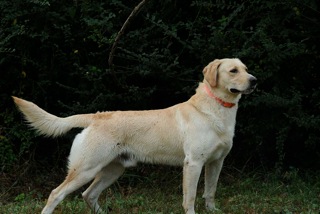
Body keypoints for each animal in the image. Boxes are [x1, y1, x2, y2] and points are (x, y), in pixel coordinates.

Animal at [13, 58, 258, 214]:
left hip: (112, 170)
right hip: (85, 169)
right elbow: (190, 197)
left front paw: (212, 210)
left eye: (246, 68)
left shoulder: (216, 162)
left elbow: (210, 192)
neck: (216, 109)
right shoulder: (193, 163)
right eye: (233, 71)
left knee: (88, 195)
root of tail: (96, 116)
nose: (254, 80)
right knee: (56, 194)